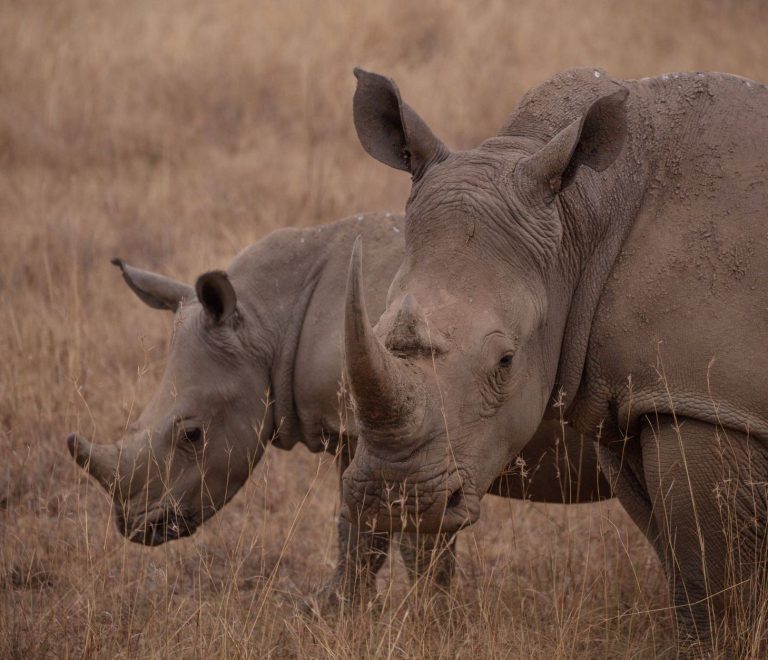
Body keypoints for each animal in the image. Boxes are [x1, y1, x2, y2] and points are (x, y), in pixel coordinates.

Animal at [67, 212, 610, 605]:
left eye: (193, 436)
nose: (135, 526)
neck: (266, 322)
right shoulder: (365, 433)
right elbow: (355, 531)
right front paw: (332, 608)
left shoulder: (419, 443)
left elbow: (403, 537)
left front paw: (426, 619)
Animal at [342, 68, 768, 644]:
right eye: (381, 332)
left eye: (505, 362)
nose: (393, 498)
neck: (584, 216)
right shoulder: (636, 399)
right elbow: (679, 560)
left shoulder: (706, 400)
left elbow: (714, 578)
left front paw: (725, 646)